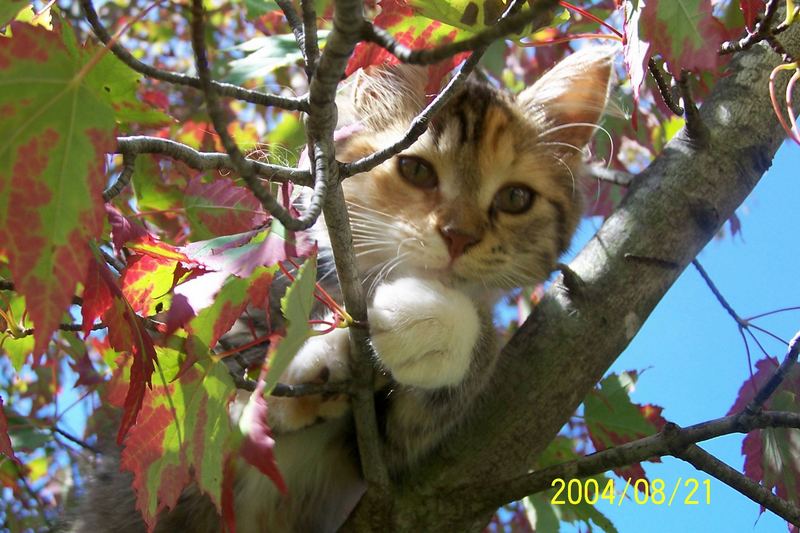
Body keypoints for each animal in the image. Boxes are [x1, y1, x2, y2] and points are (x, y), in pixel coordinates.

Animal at [67, 46, 612, 532]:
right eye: (416, 170)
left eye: (515, 198)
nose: (459, 235)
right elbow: (217, 401)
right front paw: (311, 363)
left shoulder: (396, 456)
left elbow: (471, 352)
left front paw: (424, 322)